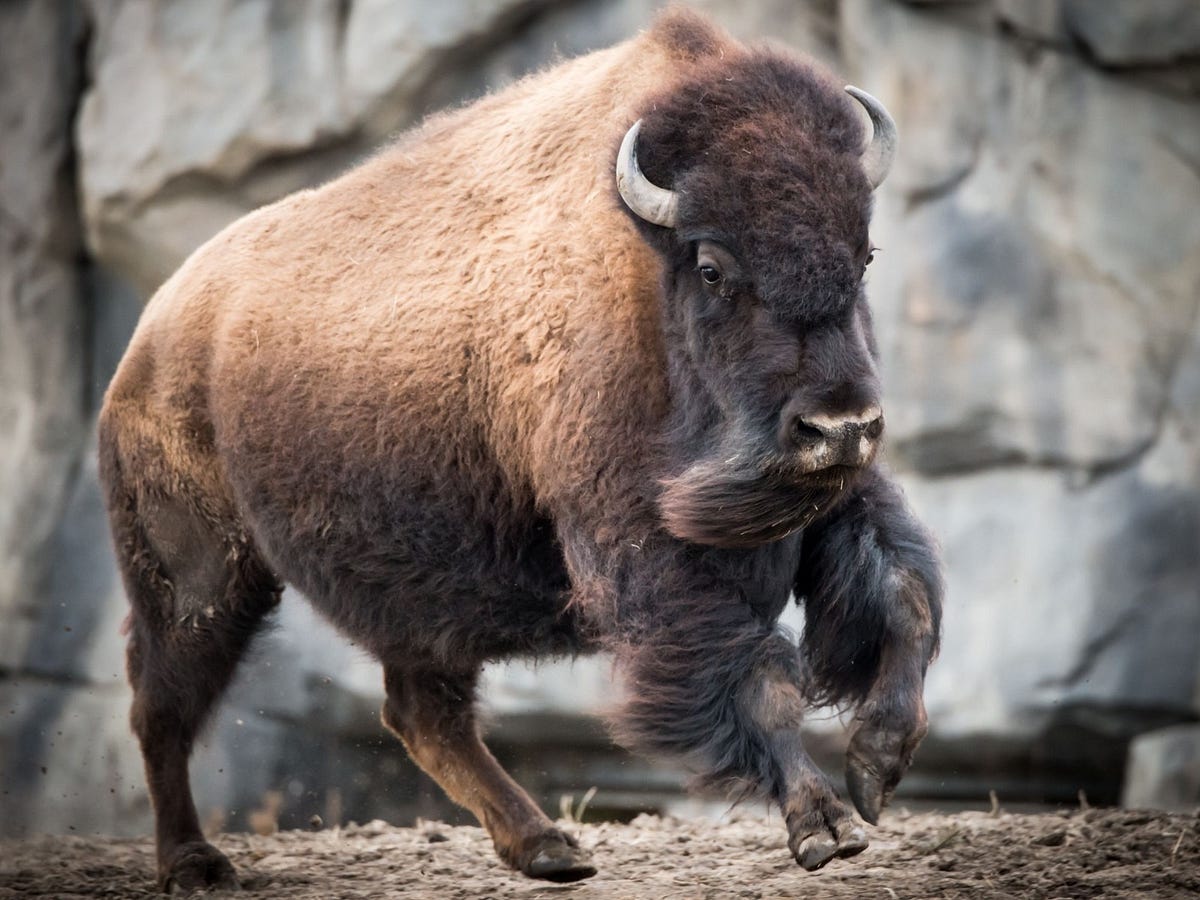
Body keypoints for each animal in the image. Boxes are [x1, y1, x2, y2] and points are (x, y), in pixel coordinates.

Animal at [98, 8, 942, 892]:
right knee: (163, 706)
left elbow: (905, 599)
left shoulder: (841, 501)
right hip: (198, 578)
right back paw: (194, 861)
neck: (647, 276)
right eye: (713, 266)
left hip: (415, 601)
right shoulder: (651, 552)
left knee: (421, 712)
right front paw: (825, 828)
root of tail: (153, 335)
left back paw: (547, 847)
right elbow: (762, 679)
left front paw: (877, 766)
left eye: (865, 253)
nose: (840, 425)